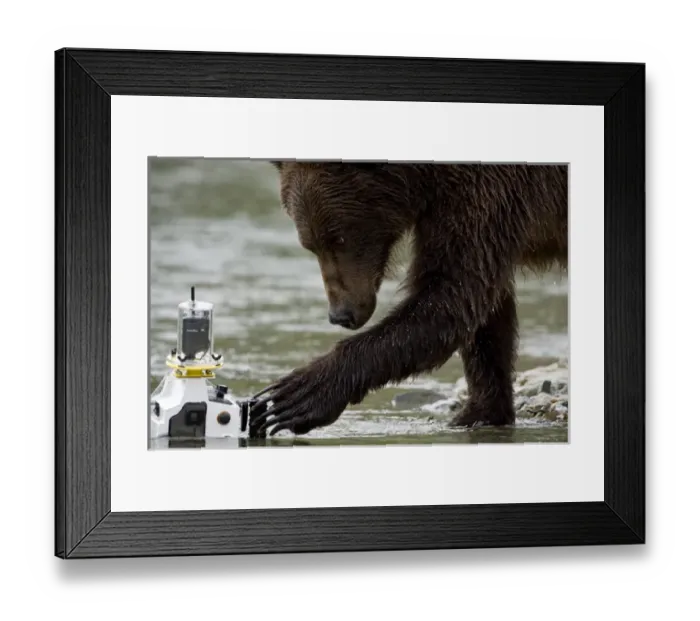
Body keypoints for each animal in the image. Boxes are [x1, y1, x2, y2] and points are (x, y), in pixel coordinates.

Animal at [248, 161, 568, 438]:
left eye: (338, 238)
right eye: (310, 245)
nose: (340, 314)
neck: (423, 178)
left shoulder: (486, 192)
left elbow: (449, 296)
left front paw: (297, 396)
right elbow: (483, 314)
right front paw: (479, 412)